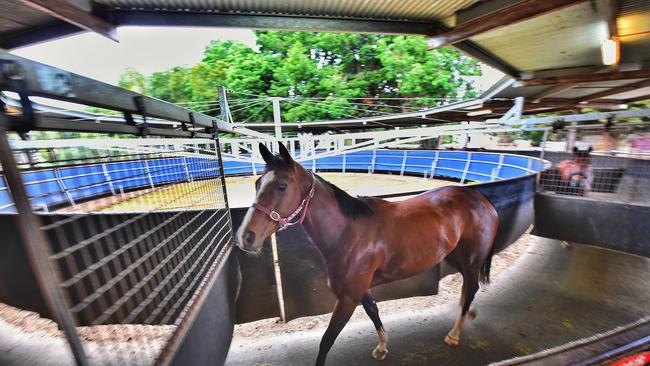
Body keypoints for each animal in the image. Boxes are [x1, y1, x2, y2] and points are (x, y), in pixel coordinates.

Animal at [235, 144, 498, 366]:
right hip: (454, 256)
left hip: (472, 259)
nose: (245, 237)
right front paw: (382, 348)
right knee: (468, 287)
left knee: (471, 287)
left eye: (282, 186)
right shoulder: (360, 290)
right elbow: (373, 311)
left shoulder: (348, 297)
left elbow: (327, 340)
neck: (348, 233)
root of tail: (482, 200)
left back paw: (454, 334)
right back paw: (467, 312)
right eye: (258, 183)